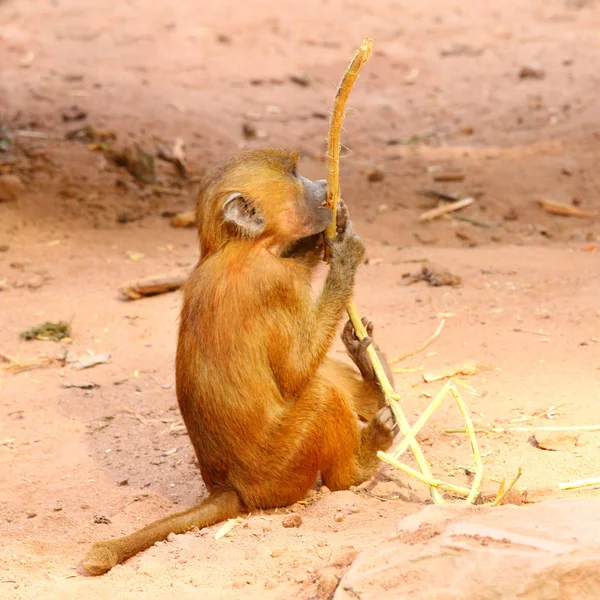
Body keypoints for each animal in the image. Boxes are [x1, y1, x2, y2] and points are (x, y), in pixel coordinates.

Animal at [82, 148, 396, 576]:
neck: (234, 246)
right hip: (281, 471)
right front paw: (343, 254)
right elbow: (294, 372)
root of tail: (229, 487)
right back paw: (362, 461)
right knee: (321, 396)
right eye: (294, 173)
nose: (323, 187)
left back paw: (374, 377)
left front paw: (327, 234)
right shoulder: (273, 281)